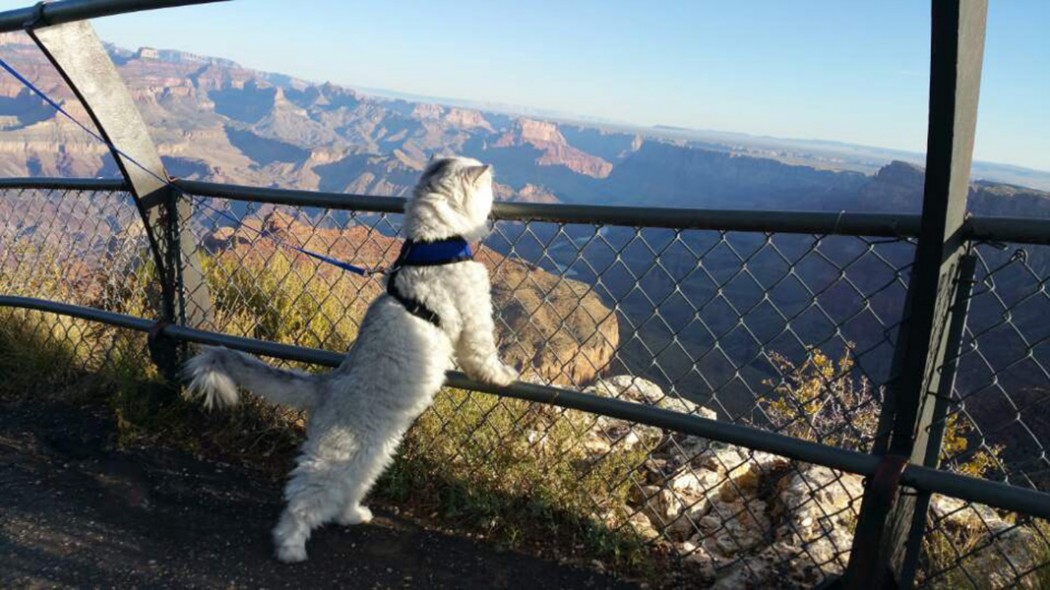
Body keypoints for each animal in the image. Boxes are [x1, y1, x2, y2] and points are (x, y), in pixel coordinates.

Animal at [187, 155, 520, 558]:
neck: (431, 245)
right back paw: (290, 546)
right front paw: (505, 374)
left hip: (371, 457)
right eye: (489, 189)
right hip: (334, 457)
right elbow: (484, 357)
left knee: (347, 490)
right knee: (302, 499)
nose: (497, 202)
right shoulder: (474, 319)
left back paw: (352, 515)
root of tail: (326, 384)